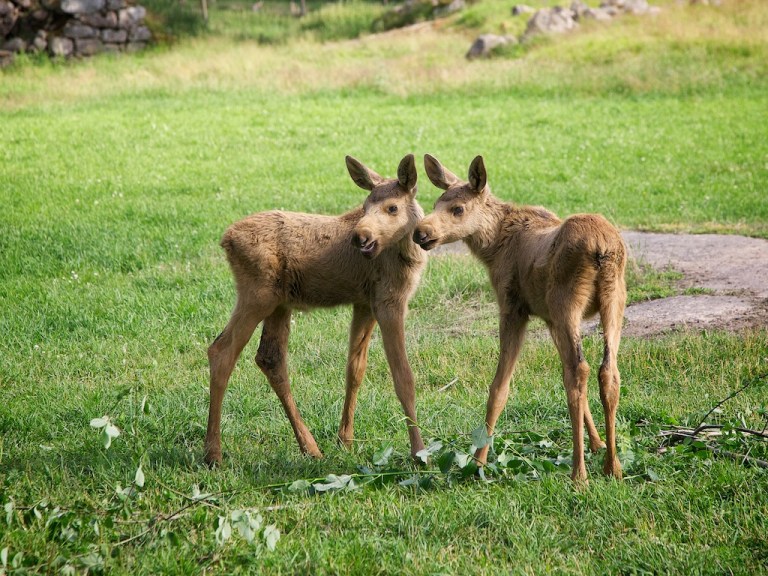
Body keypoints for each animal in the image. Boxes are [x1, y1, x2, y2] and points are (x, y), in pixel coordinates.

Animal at [204, 154, 428, 466]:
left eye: (392, 207)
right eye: (365, 206)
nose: (360, 237)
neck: (407, 254)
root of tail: (226, 240)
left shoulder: (364, 302)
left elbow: (355, 369)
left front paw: (345, 440)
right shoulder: (389, 300)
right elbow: (403, 377)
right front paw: (419, 452)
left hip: (279, 303)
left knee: (270, 358)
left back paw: (310, 447)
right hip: (257, 295)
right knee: (221, 351)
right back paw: (213, 453)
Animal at [413, 154, 627, 482]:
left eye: (457, 209)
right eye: (436, 203)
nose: (420, 232)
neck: (493, 248)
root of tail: (601, 247)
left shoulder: (513, 307)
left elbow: (499, 387)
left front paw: (479, 460)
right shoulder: (549, 317)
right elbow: (562, 370)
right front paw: (597, 442)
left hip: (567, 301)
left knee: (580, 371)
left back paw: (579, 474)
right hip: (614, 300)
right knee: (606, 371)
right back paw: (612, 466)